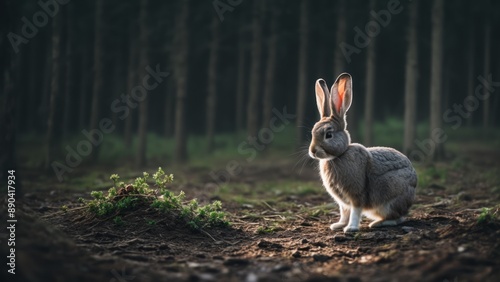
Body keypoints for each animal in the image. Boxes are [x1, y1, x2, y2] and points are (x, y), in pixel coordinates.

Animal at [308, 72, 418, 234]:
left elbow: (355, 211)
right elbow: (344, 212)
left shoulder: (357, 194)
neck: (338, 156)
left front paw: (350, 228)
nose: (313, 151)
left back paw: (377, 223)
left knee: (397, 218)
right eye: (312, 132)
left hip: (390, 196)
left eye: (328, 134)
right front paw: (338, 225)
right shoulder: (343, 202)